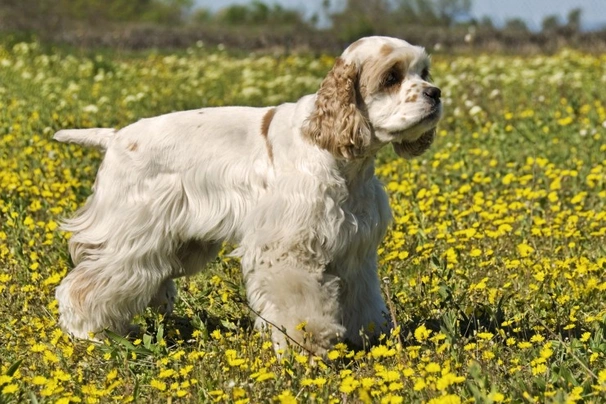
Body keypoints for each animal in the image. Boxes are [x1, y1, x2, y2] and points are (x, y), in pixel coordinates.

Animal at [53, 36, 442, 356]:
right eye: (391, 77)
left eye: (424, 71)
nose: (435, 93)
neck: (338, 151)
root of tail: (116, 137)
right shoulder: (290, 246)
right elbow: (301, 304)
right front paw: (308, 345)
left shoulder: (354, 247)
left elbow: (362, 298)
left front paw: (368, 337)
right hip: (132, 238)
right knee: (85, 285)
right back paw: (88, 334)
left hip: (175, 246)